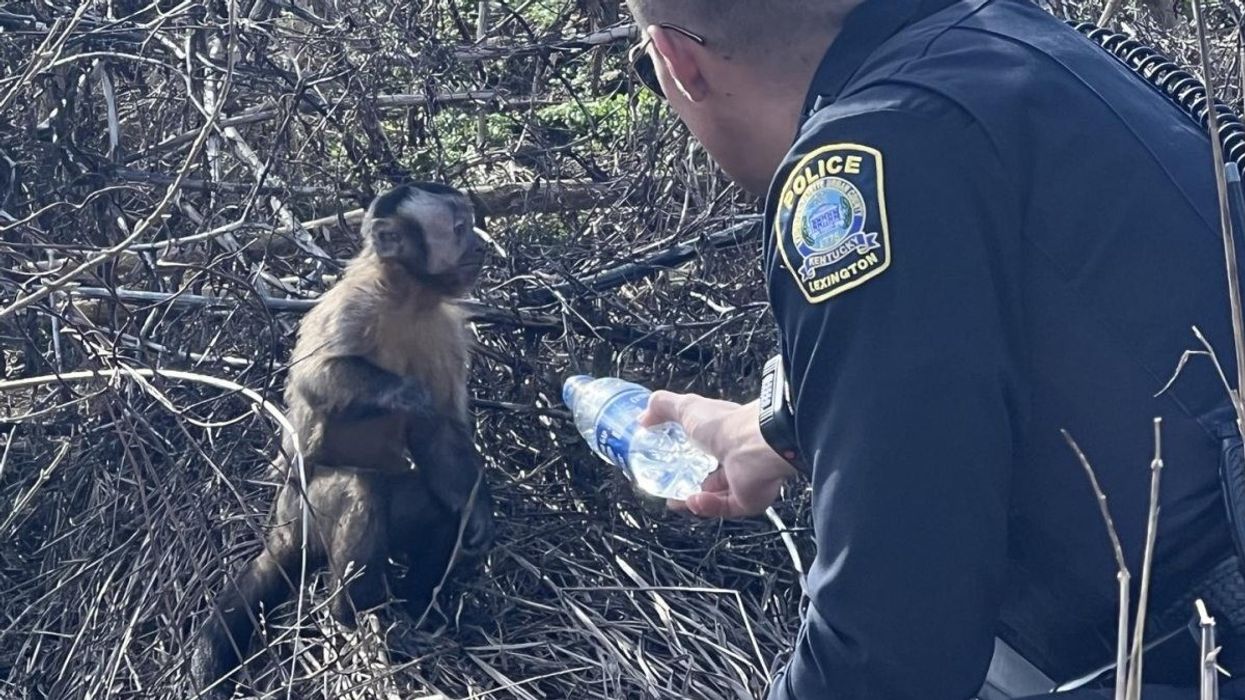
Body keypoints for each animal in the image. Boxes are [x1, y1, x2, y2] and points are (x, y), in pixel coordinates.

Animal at [190, 182, 495, 698]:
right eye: (458, 229)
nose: (478, 245)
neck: (408, 298)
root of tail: (281, 526)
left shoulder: (447, 330)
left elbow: (440, 434)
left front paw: (477, 513)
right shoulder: (354, 303)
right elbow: (318, 379)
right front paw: (404, 393)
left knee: (434, 511)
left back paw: (416, 610)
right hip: (305, 514)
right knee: (359, 490)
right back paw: (351, 614)